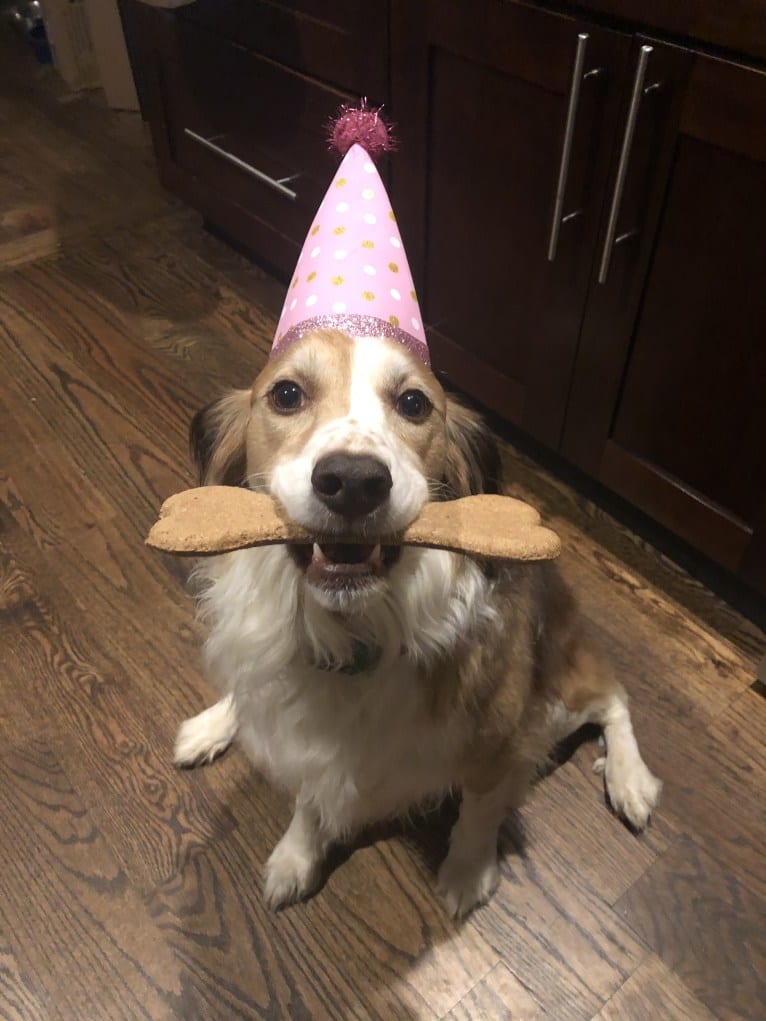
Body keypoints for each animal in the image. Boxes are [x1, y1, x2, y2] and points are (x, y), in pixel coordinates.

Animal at [172, 330, 661, 922]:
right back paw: (211, 726)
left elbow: (479, 812)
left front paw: (467, 872)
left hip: (557, 702)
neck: (352, 632)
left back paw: (629, 780)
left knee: (613, 698)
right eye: (286, 394)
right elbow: (310, 798)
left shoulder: (502, 738)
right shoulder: (304, 738)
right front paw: (296, 856)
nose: (353, 482)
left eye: (413, 403)